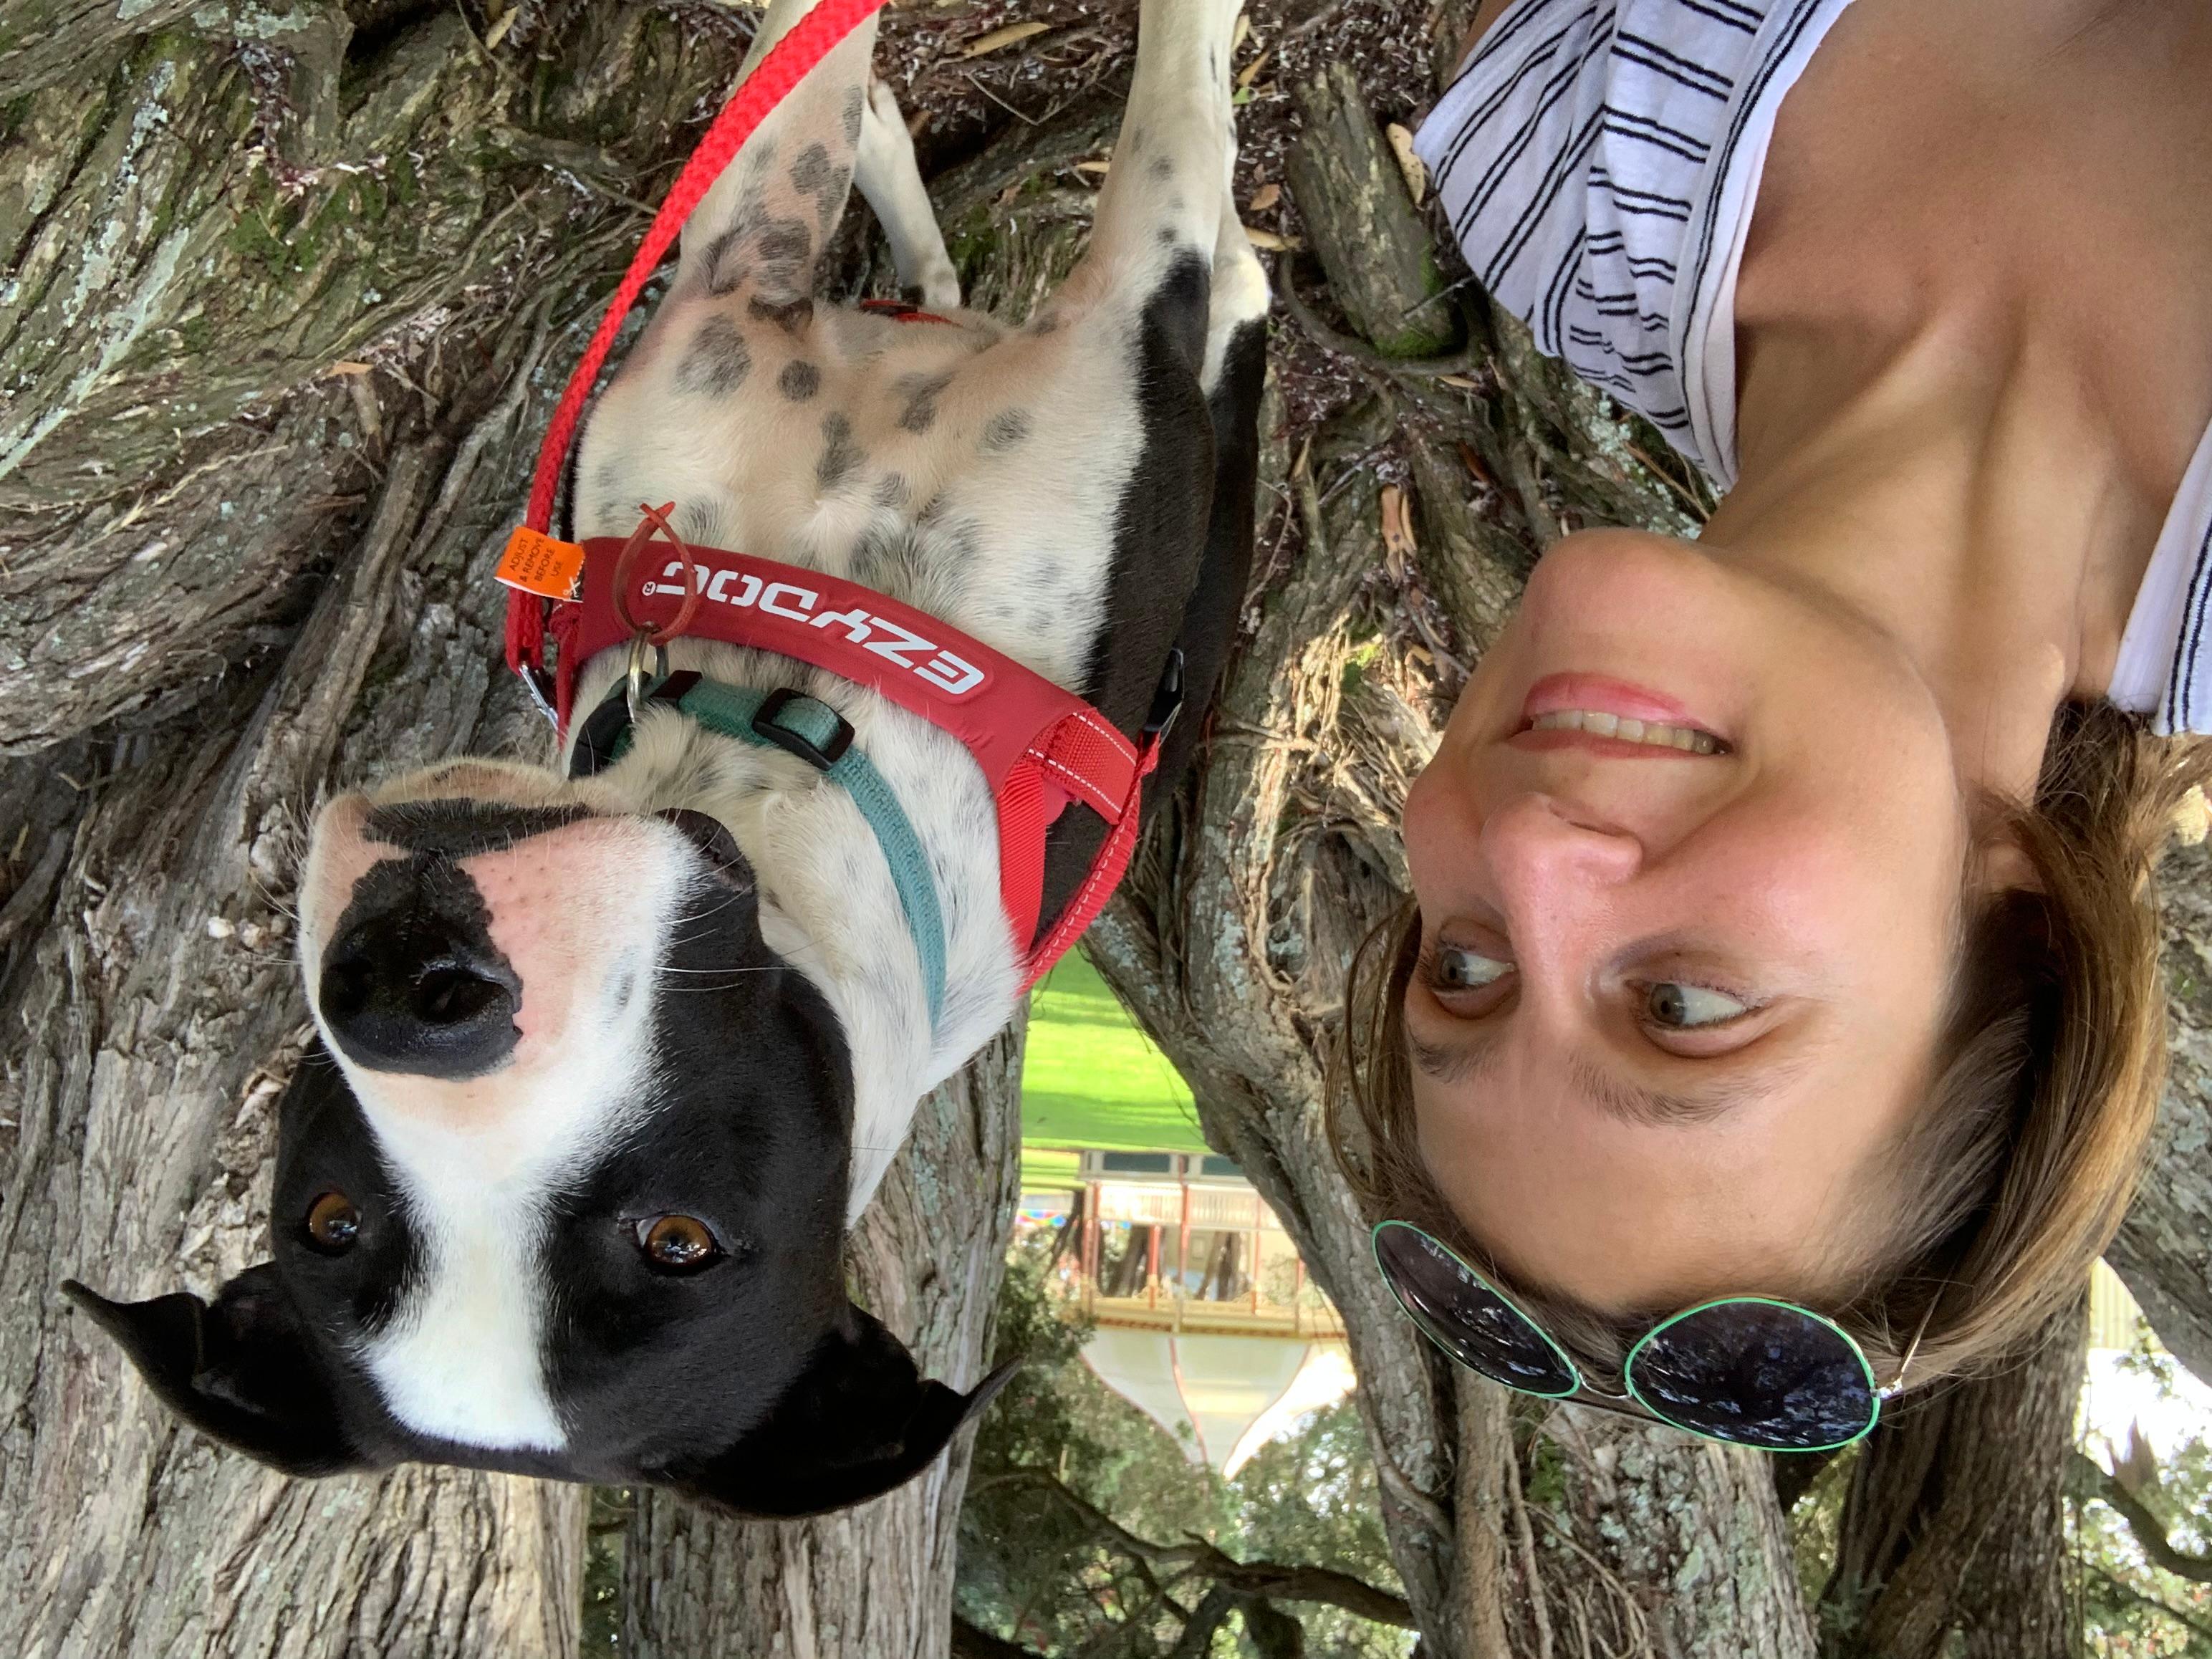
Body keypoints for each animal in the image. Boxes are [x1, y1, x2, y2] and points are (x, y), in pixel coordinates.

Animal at [64, 0, 1265, 1521]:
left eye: (680, 1244)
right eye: (327, 1217)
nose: (410, 995)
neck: (783, 735)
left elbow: (837, 103)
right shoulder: (1024, 308)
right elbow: (1099, 109)